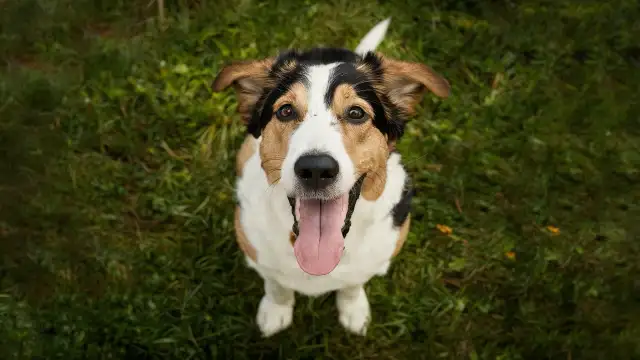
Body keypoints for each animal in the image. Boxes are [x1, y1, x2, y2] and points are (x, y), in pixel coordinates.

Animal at [212, 18, 448, 336]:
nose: (316, 169)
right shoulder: (259, 254)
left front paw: (353, 310)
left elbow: (352, 284)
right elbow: (276, 286)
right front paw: (276, 311)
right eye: (285, 111)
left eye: (356, 113)